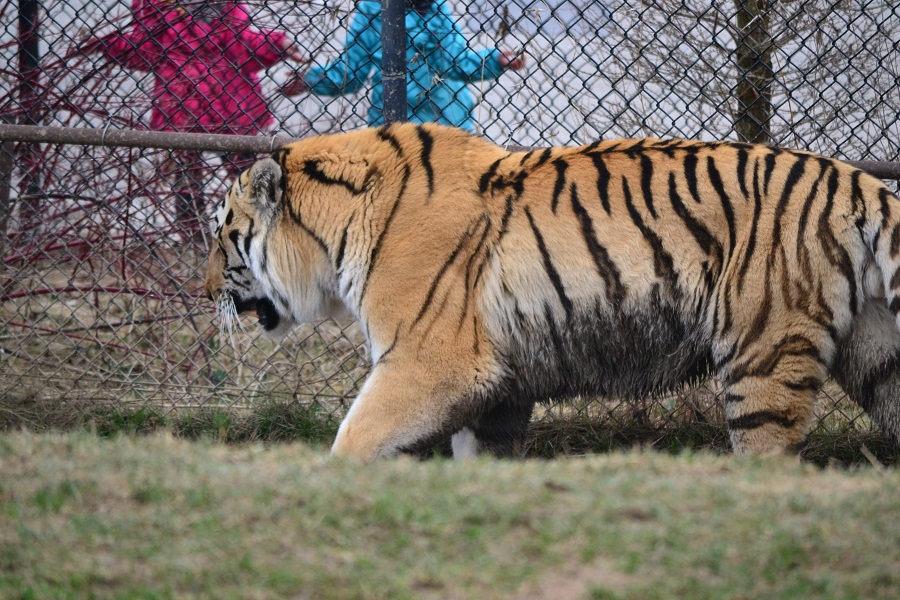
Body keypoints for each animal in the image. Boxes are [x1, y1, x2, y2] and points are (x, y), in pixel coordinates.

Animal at [202, 122, 900, 460]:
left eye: (222, 234)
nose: (205, 289)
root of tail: (857, 181)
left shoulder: (429, 363)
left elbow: (354, 439)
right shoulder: (499, 389)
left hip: (762, 355)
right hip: (878, 354)